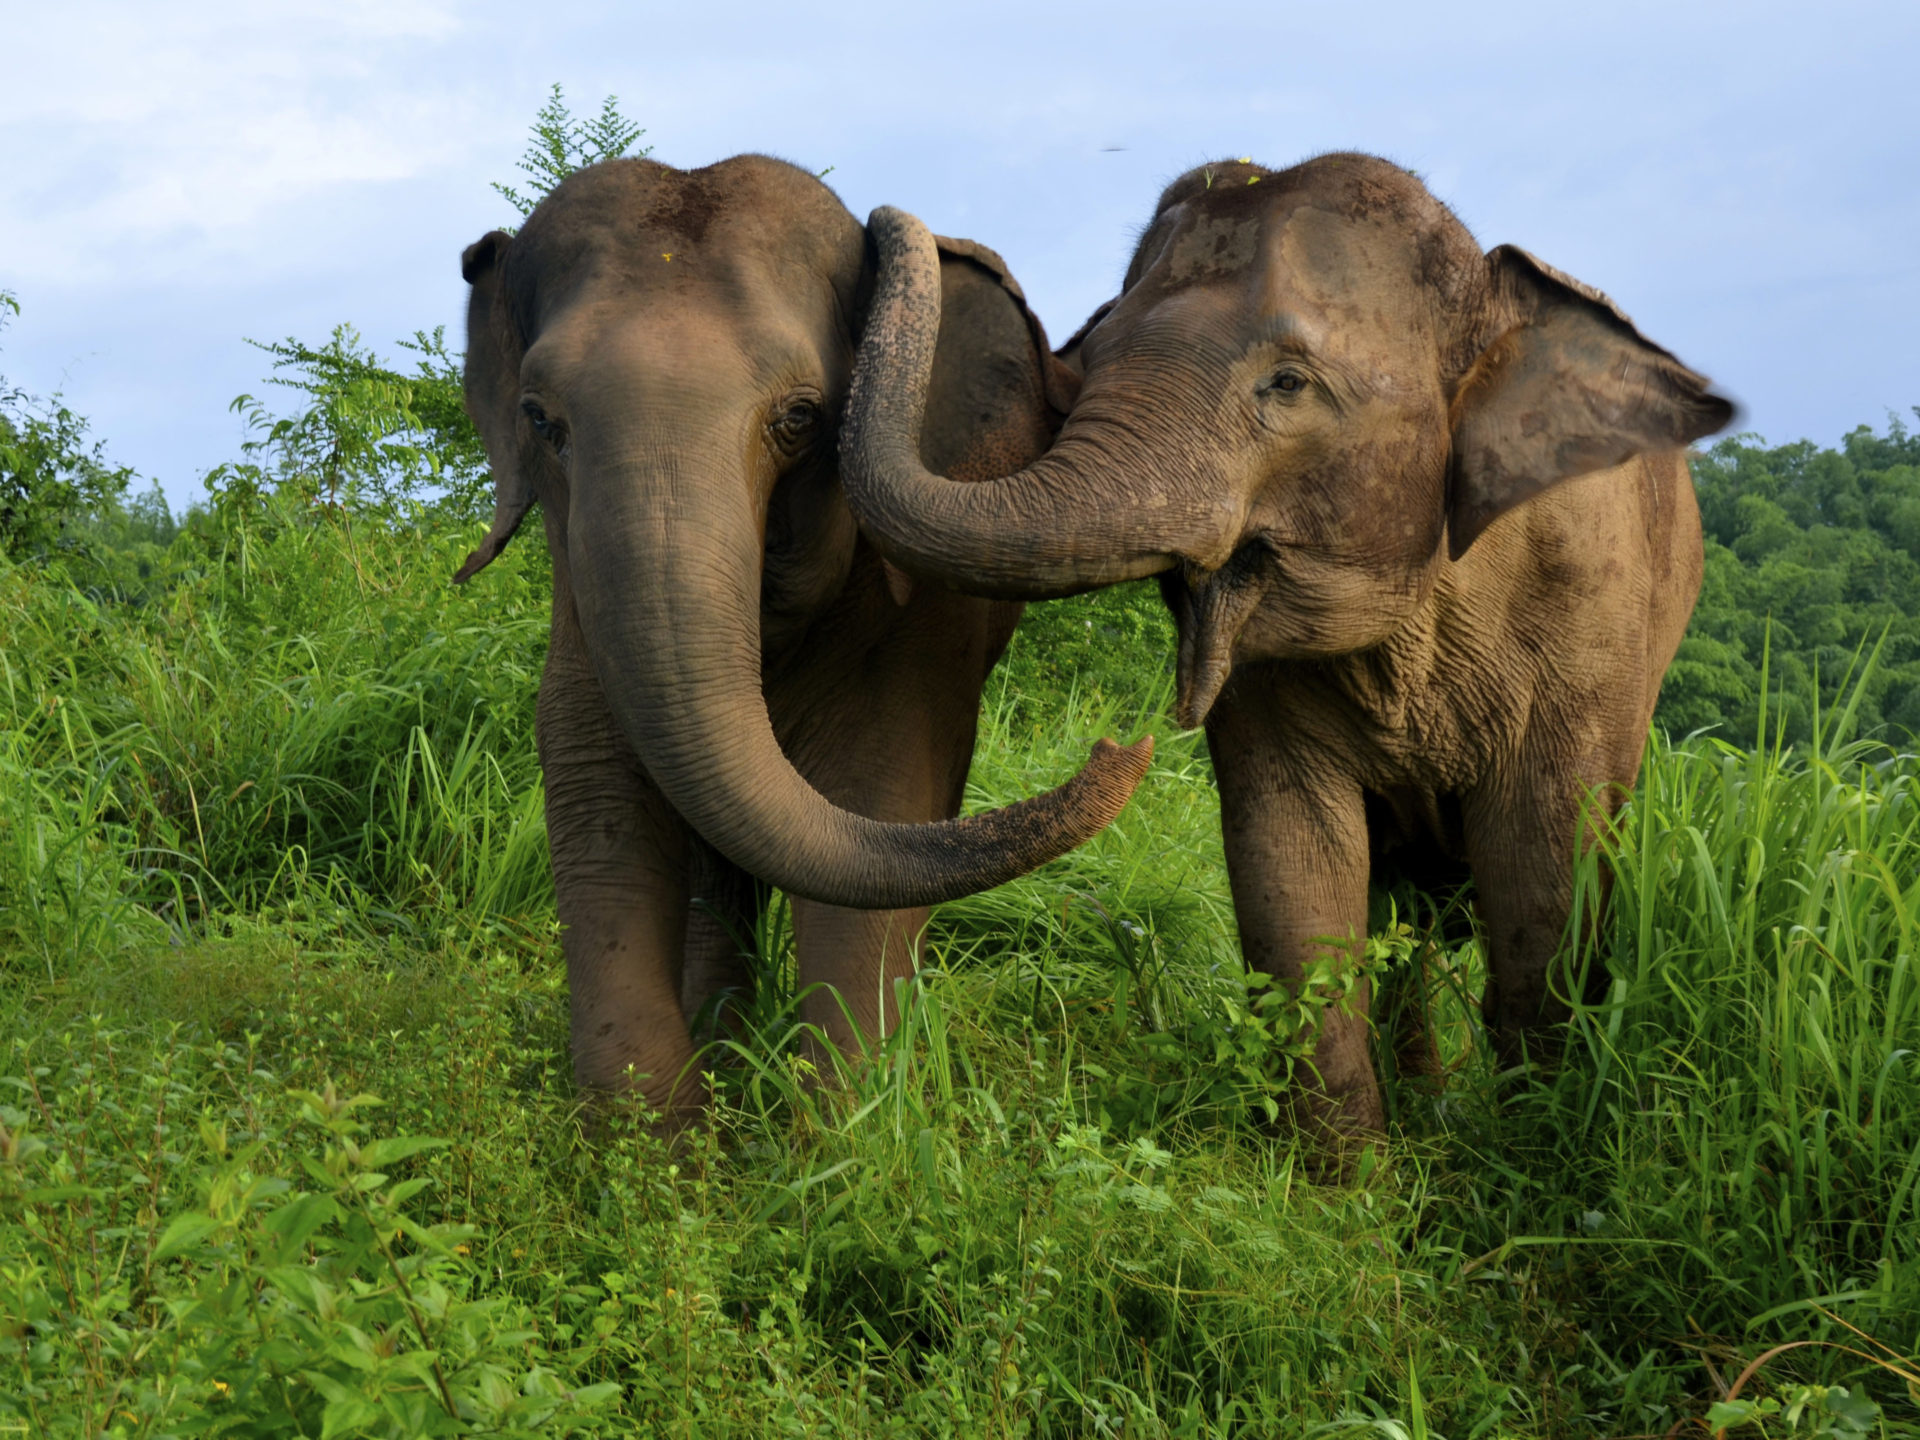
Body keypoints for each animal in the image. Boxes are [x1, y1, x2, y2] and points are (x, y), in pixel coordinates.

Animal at [455, 154, 1151, 1124]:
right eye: (538, 417)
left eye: (800, 419)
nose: (1124, 744)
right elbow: (597, 788)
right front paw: (656, 1137)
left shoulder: (912, 622)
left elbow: (878, 790)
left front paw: (842, 1129)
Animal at [840, 152, 1733, 1139]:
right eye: (1088, 365)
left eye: (1288, 384)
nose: (902, 222)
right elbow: (1292, 866)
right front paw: (1361, 1176)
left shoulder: (1587, 617)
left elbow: (1547, 877)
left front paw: (1528, 1148)